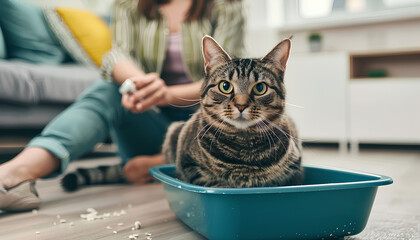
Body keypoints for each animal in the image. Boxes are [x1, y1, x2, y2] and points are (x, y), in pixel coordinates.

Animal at [161, 35, 302, 188]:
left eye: (260, 88)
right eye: (225, 86)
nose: (241, 105)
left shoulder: (294, 173)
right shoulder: (191, 167)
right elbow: (214, 183)